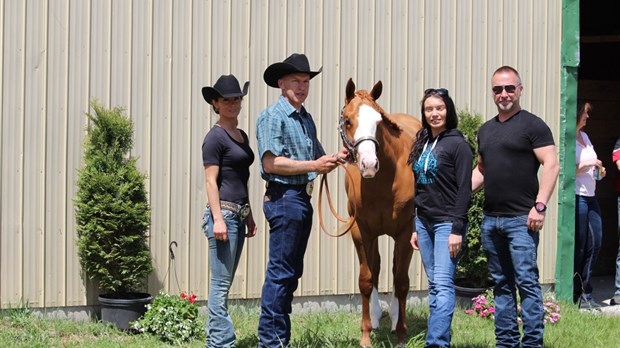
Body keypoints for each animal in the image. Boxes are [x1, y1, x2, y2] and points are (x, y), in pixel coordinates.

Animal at [340, 77, 422, 346]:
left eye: (379, 121)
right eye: (348, 120)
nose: (369, 164)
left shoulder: (406, 231)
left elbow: (402, 281)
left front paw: (401, 333)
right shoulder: (361, 230)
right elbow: (366, 279)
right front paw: (365, 335)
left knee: (396, 270)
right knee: (376, 268)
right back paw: (376, 317)